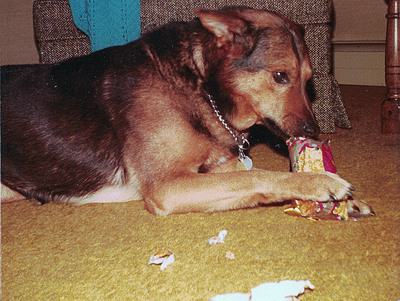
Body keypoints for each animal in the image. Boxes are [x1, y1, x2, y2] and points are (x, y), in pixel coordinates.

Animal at [0, 8, 376, 214]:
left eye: (310, 80)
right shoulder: (166, 186)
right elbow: (258, 176)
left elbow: (250, 173)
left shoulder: (211, 169)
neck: (201, 88)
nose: (313, 134)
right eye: (281, 76)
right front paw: (317, 181)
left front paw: (347, 203)